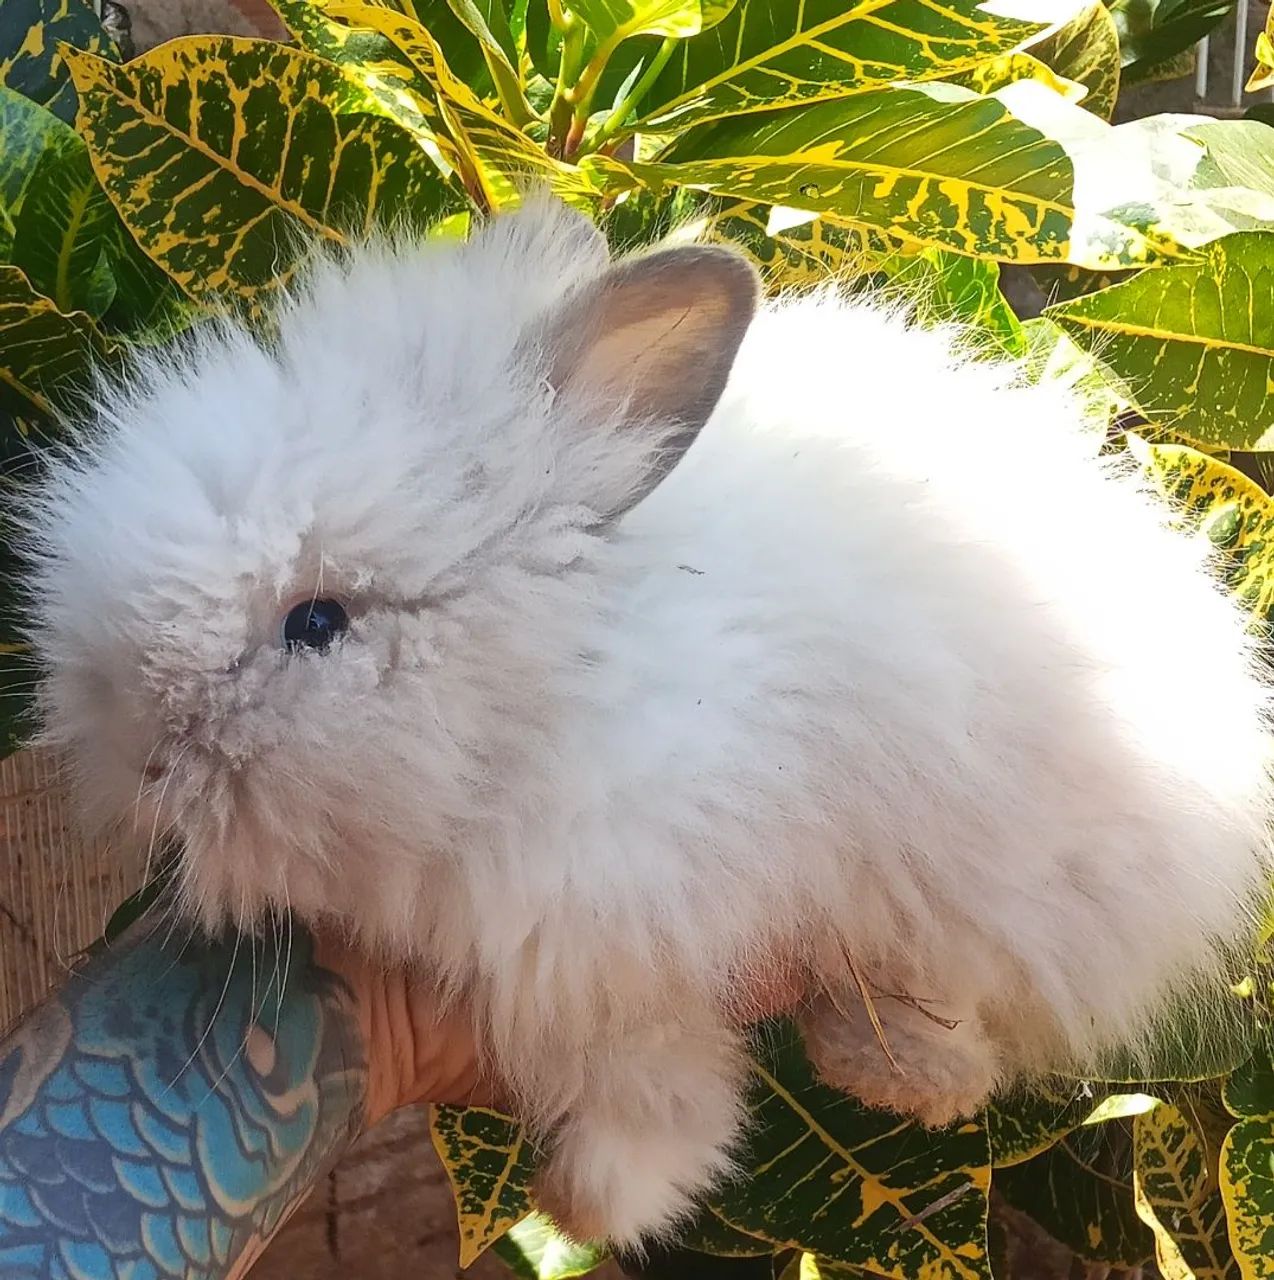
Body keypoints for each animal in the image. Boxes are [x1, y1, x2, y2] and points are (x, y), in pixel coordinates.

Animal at [21, 196, 1274, 1250]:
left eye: (317, 620)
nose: (141, 754)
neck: (560, 682)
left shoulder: (620, 940)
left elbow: (656, 1094)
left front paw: (588, 1204)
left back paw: (894, 1068)